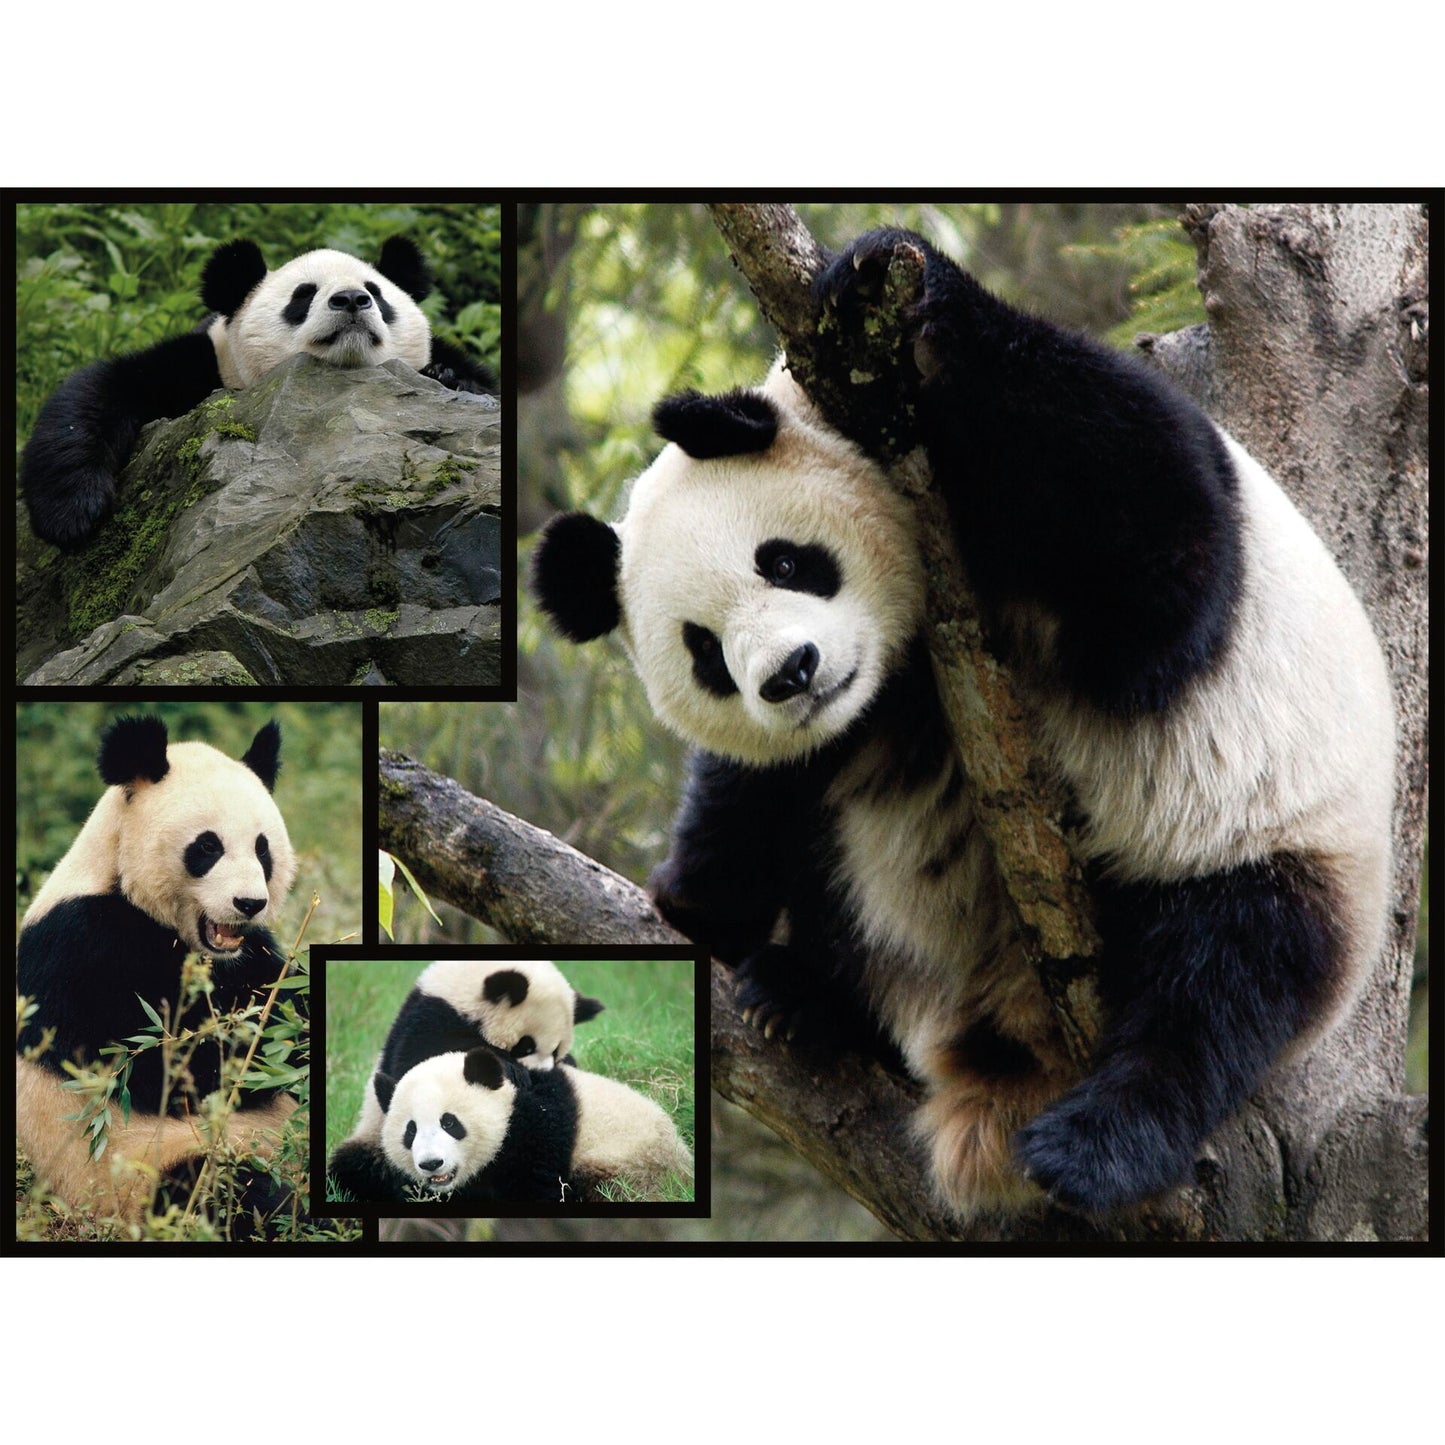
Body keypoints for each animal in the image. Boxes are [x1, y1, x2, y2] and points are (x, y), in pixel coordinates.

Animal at [16, 714, 304, 1234]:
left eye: (263, 849)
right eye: (207, 846)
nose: (250, 903)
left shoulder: (251, 955)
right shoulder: (78, 946)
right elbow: (150, 1066)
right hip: (144, 1172)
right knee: (228, 1190)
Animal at [21, 235, 498, 549]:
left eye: (376, 294)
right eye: (302, 295)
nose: (350, 299)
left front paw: (448, 376)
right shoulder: (205, 363)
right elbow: (100, 390)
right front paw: (73, 515)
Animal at [532, 226, 1397, 1219]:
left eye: (784, 561)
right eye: (704, 652)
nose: (791, 675)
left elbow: (1160, 556)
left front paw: (885, 278)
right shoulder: (845, 718)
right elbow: (756, 788)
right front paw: (695, 901)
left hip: (1275, 838)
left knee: (1226, 980)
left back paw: (1096, 1143)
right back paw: (806, 1000)